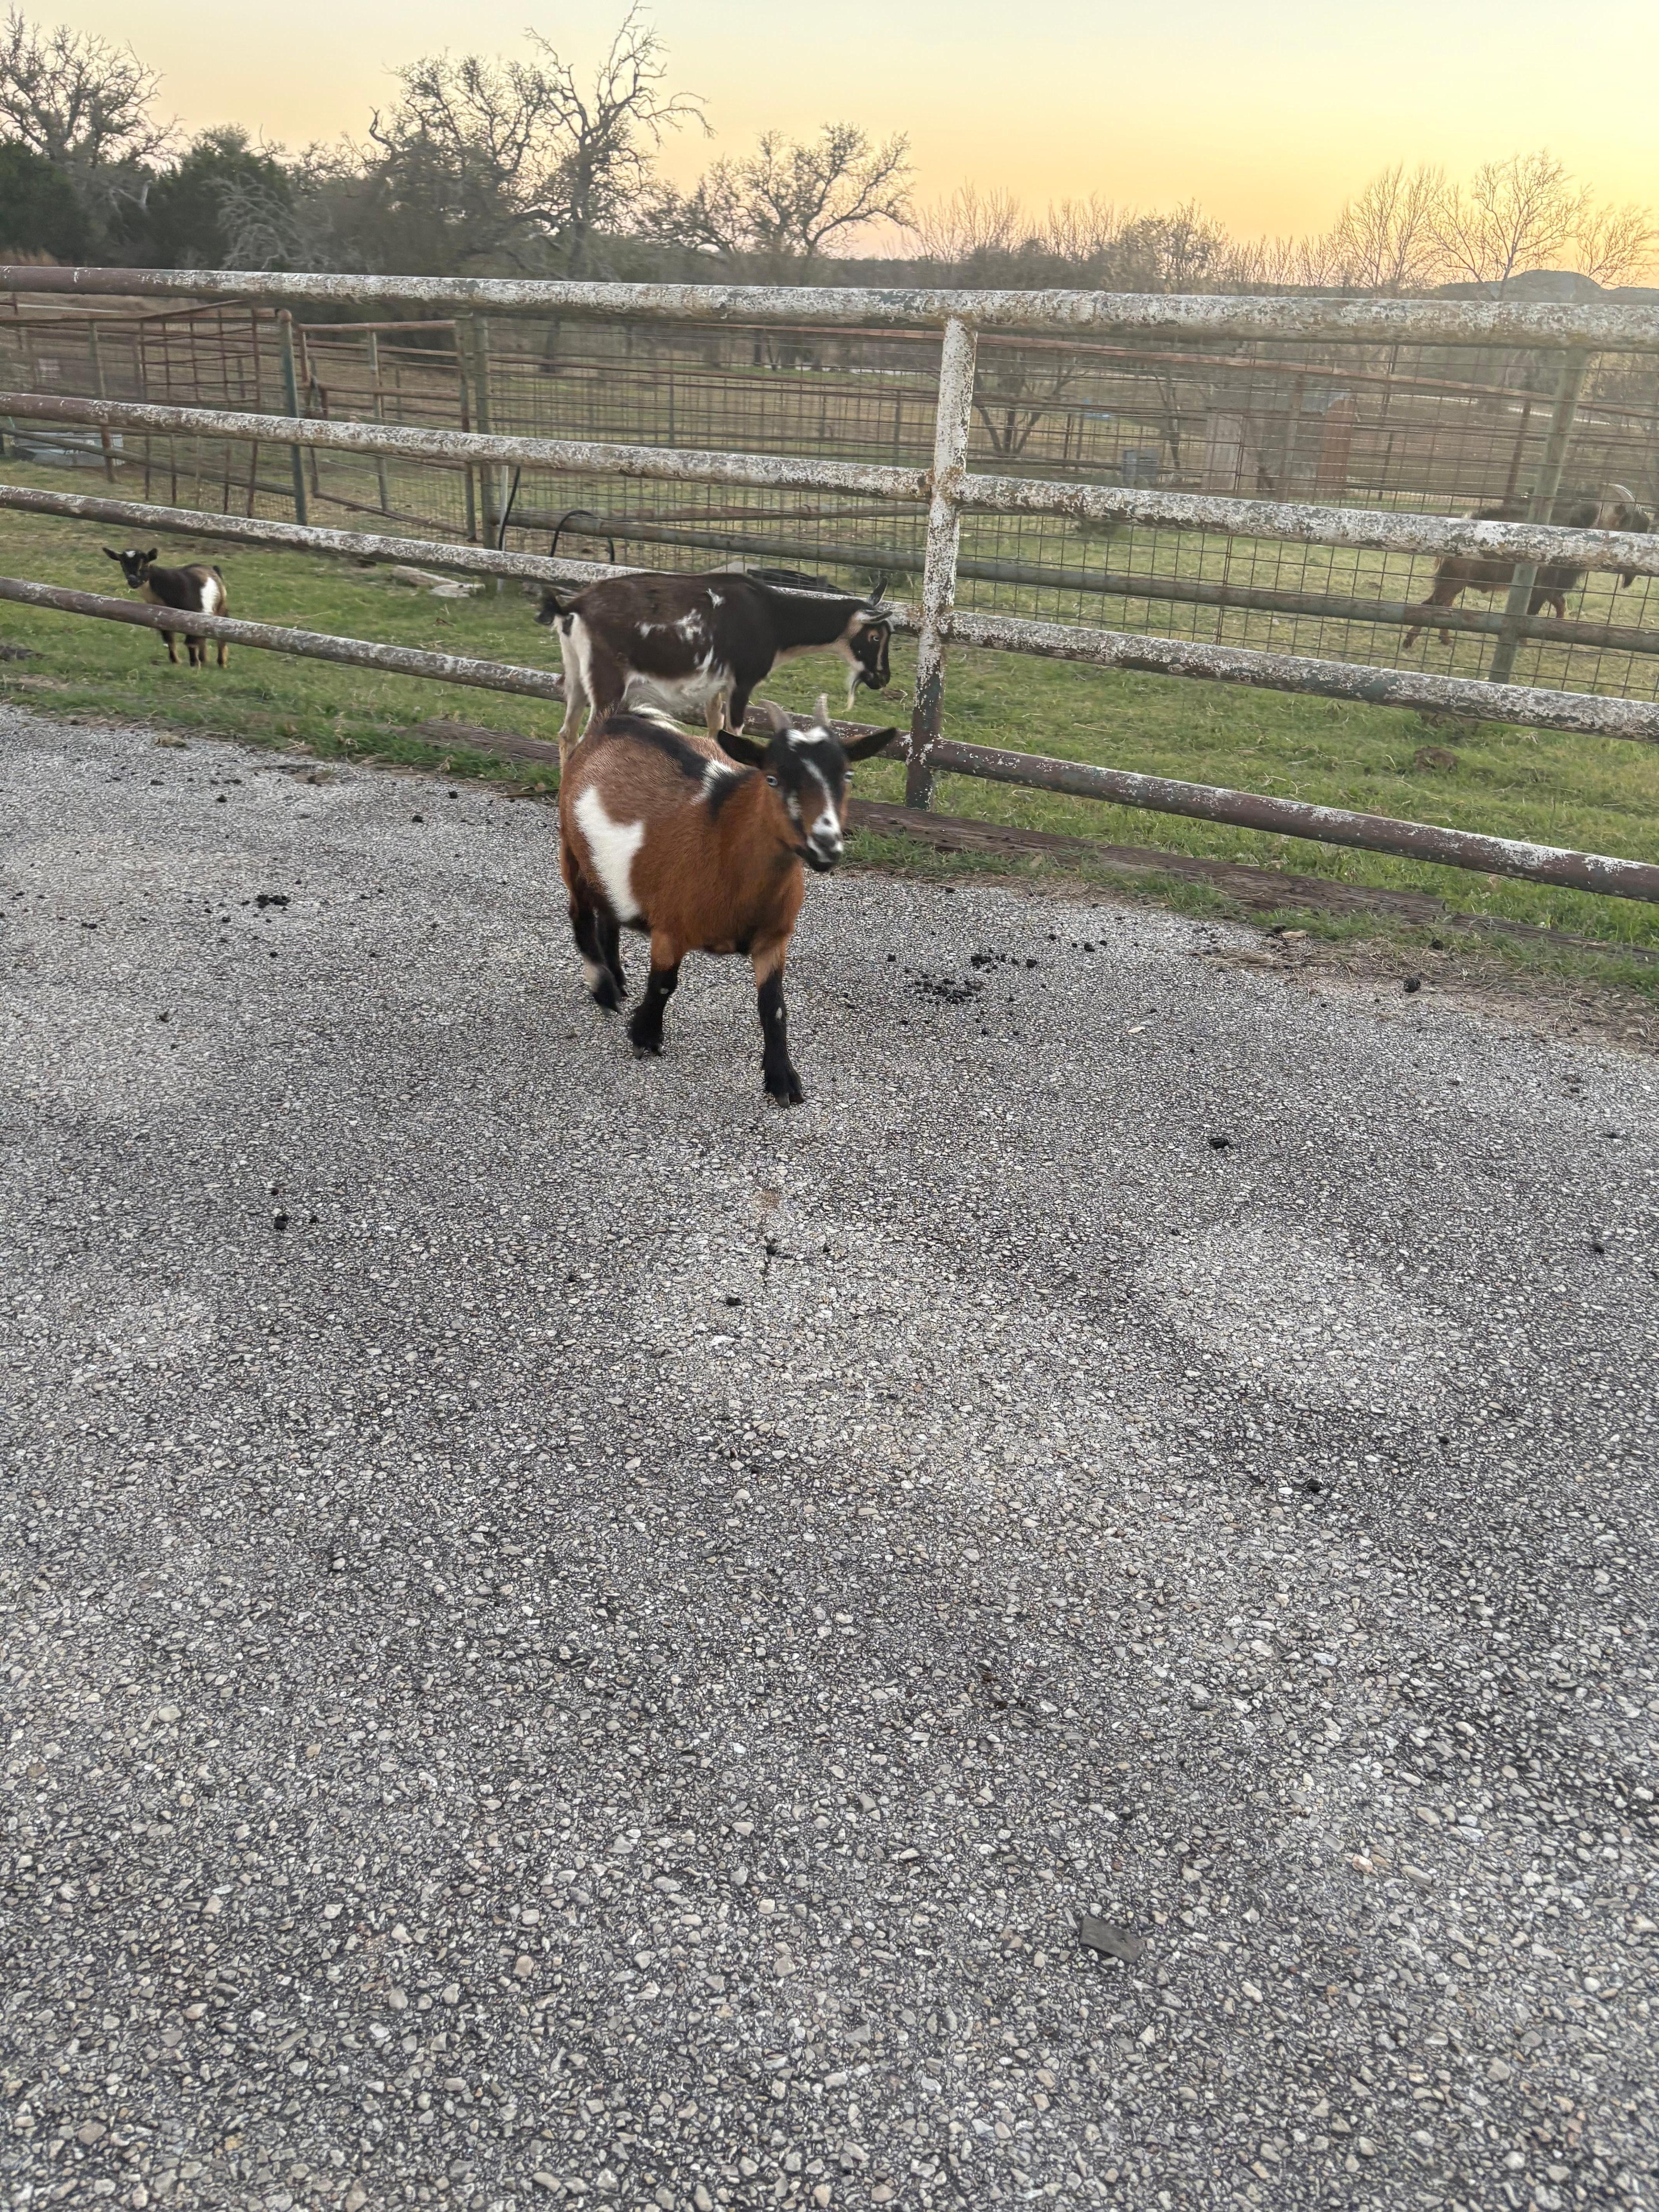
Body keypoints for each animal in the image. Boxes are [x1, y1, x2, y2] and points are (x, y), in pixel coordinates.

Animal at [103, 546, 229, 668]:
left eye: (146, 564)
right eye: (122, 565)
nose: (133, 581)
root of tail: (212, 569)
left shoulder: (194, 614)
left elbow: (191, 642)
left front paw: (194, 664)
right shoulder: (163, 618)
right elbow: (170, 640)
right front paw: (176, 661)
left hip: (220, 607)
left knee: (220, 636)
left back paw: (221, 663)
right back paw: (204, 660)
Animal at [536, 569, 892, 761]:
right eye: (875, 637)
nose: (883, 678)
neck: (775, 620)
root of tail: (574, 607)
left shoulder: (717, 686)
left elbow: (715, 730)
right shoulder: (743, 682)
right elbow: (735, 731)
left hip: (577, 677)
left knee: (567, 735)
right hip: (608, 681)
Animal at [559, 693, 898, 1105]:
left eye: (847, 776)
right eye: (772, 778)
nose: (826, 846)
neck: (721, 836)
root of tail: (616, 721)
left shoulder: (773, 940)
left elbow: (774, 1008)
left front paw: (783, 1081)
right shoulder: (671, 929)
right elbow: (664, 983)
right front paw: (645, 1035)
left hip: (608, 870)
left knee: (610, 914)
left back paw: (618, 980)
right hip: (570, 847)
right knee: (580, 912)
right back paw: (604, 988)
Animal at [1403, 486, 1651, 648]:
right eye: (1633, 525)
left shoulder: (1551, 589)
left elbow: (1560, 606)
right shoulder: (1543, 587)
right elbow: (1534, 612)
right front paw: (1523, 640)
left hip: (1455, 583)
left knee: (1443, 607)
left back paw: (1444, 639)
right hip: (1452, 581)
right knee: (1431, 606)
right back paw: (1410, 641)